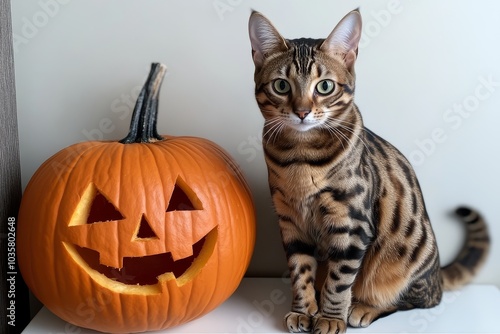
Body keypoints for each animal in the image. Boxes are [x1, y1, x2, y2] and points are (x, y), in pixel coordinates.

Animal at [248, 9, 490, 332]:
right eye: (281, 86)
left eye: (324, 86)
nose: (302, 112)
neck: (301, 156)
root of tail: (438, 274)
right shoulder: (290, 220)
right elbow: (301, 271)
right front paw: (303, 310)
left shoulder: (352, 224)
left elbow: (338, 280)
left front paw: (329, 318)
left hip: (407, 260)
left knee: (419, 299)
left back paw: (362, 308)